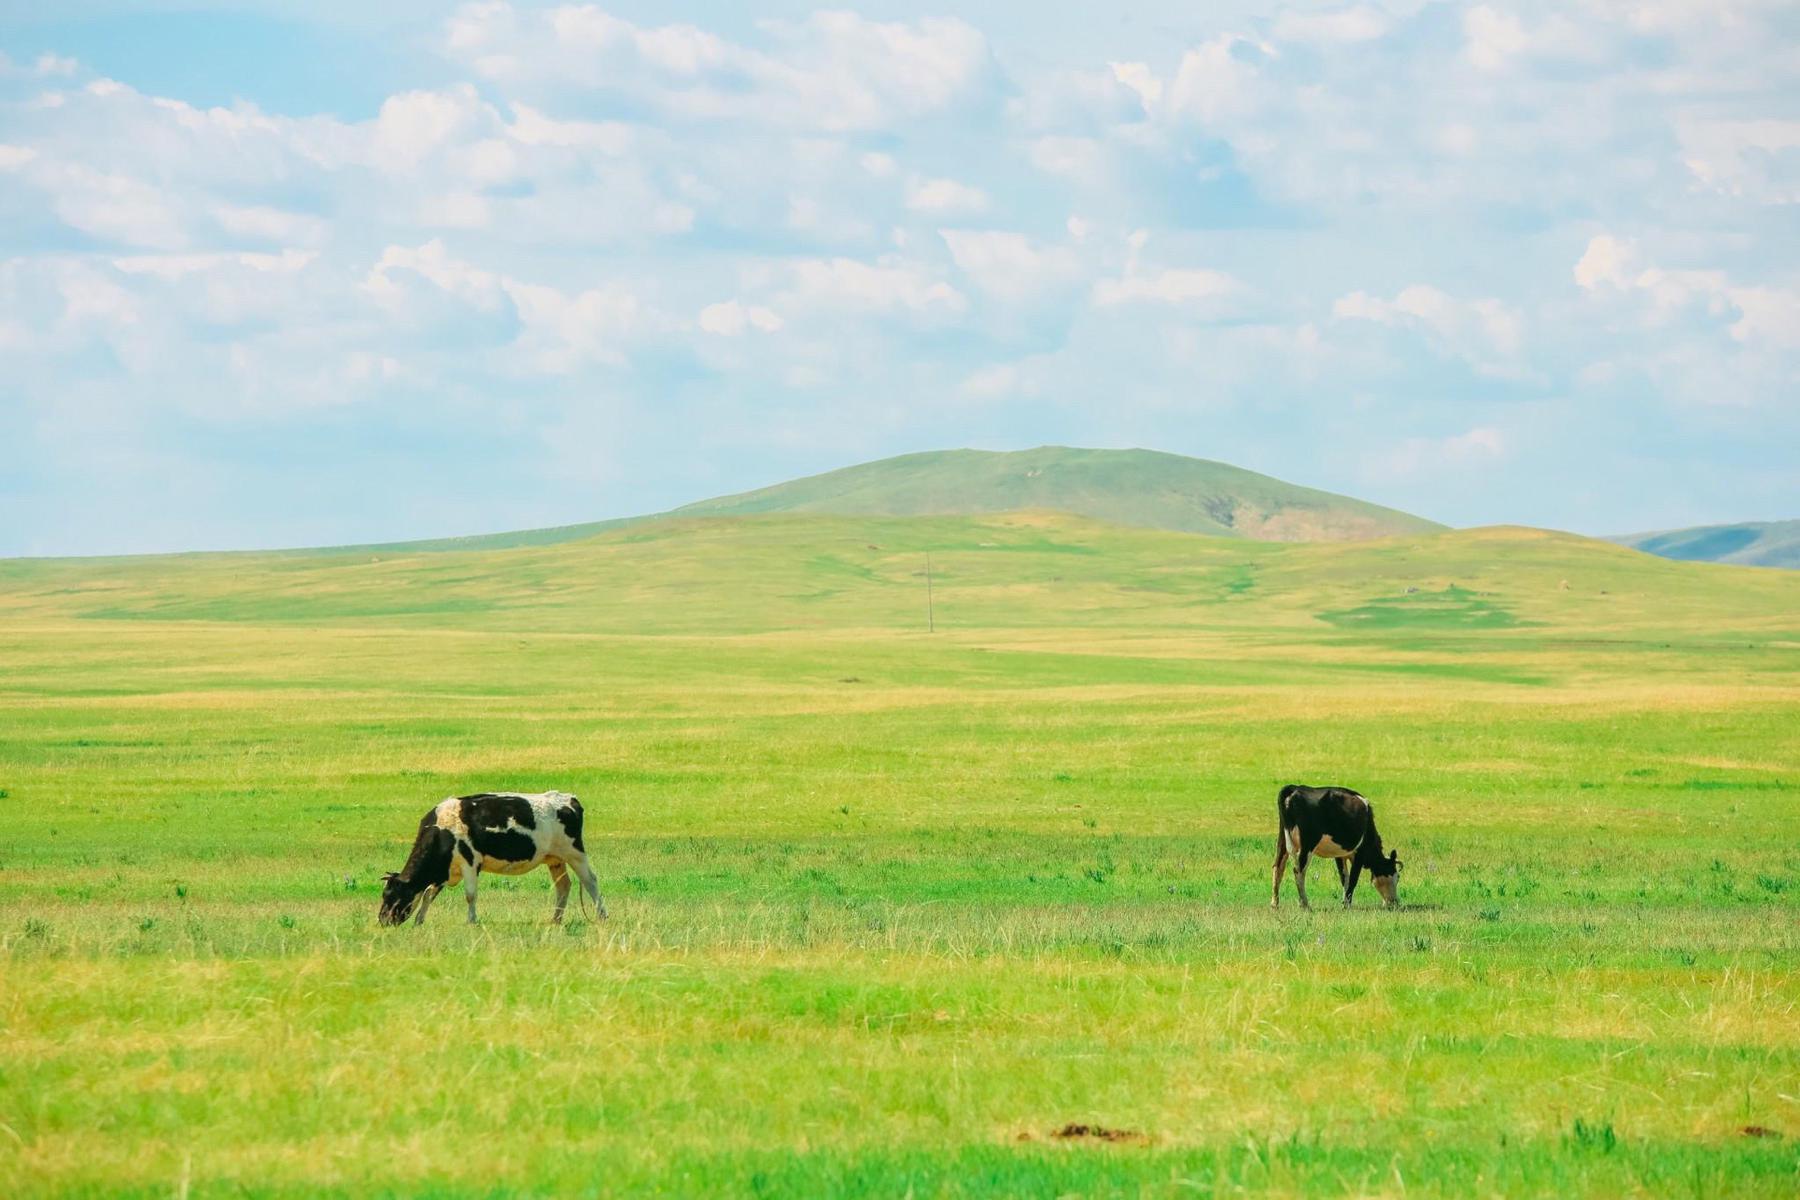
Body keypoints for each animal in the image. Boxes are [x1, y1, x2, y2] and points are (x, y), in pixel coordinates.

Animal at [376, 788, 608, 928]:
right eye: (384, 894)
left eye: (392, 896)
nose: (382, 920)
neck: (443, 829)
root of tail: (568, 798)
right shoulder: (445, 871)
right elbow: (427, 894)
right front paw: (419, 921)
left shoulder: (470, 862)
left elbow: (470, 895)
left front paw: (471, 921)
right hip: (555, 859)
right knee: (563, 886)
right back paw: (556, 920)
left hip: (575, 853)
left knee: (590, 881)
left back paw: (602, 916)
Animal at [1267, 780, 1404, 910]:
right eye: (1397, 876)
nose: (1395, 902)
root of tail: (1294, 788)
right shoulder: (1360, 853)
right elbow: (1353, 879)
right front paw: (1347, 905)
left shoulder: (1339, 854)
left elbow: (1344, 878)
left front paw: (1344, 901)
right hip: (1307, 844)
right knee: (1298, 871)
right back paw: (1305, 904)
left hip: (1282, 840)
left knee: (1277, 867)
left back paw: (1275, 904)